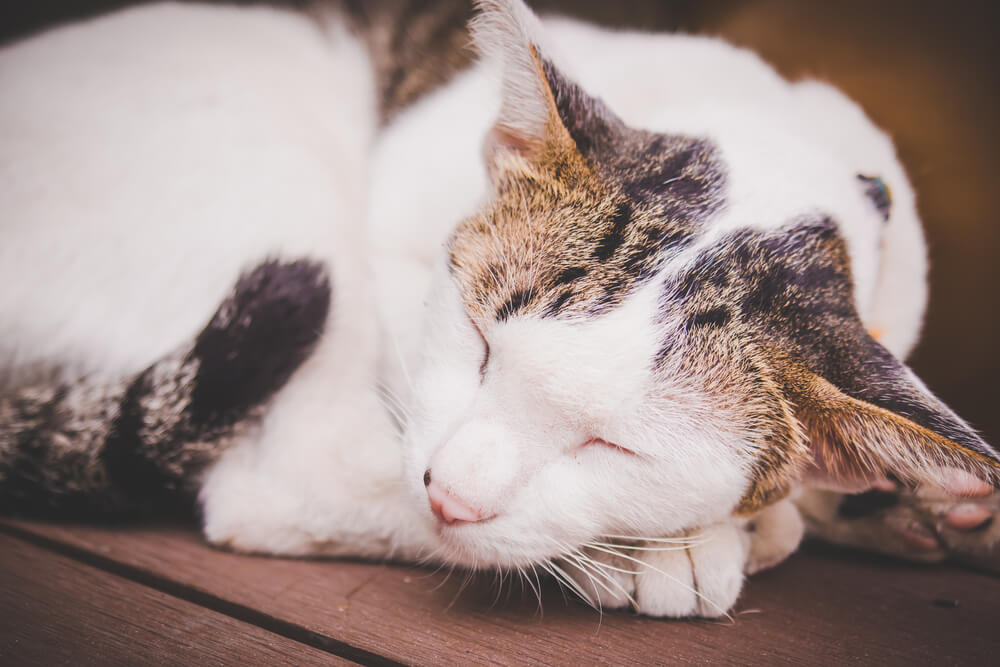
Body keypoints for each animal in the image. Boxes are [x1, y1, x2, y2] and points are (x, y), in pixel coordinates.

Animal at [1, 0, 1000, 620]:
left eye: (615, 445)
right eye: (479, 343)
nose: (448, 493)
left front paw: (905, 505)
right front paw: (678, 544)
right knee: (282, 479)